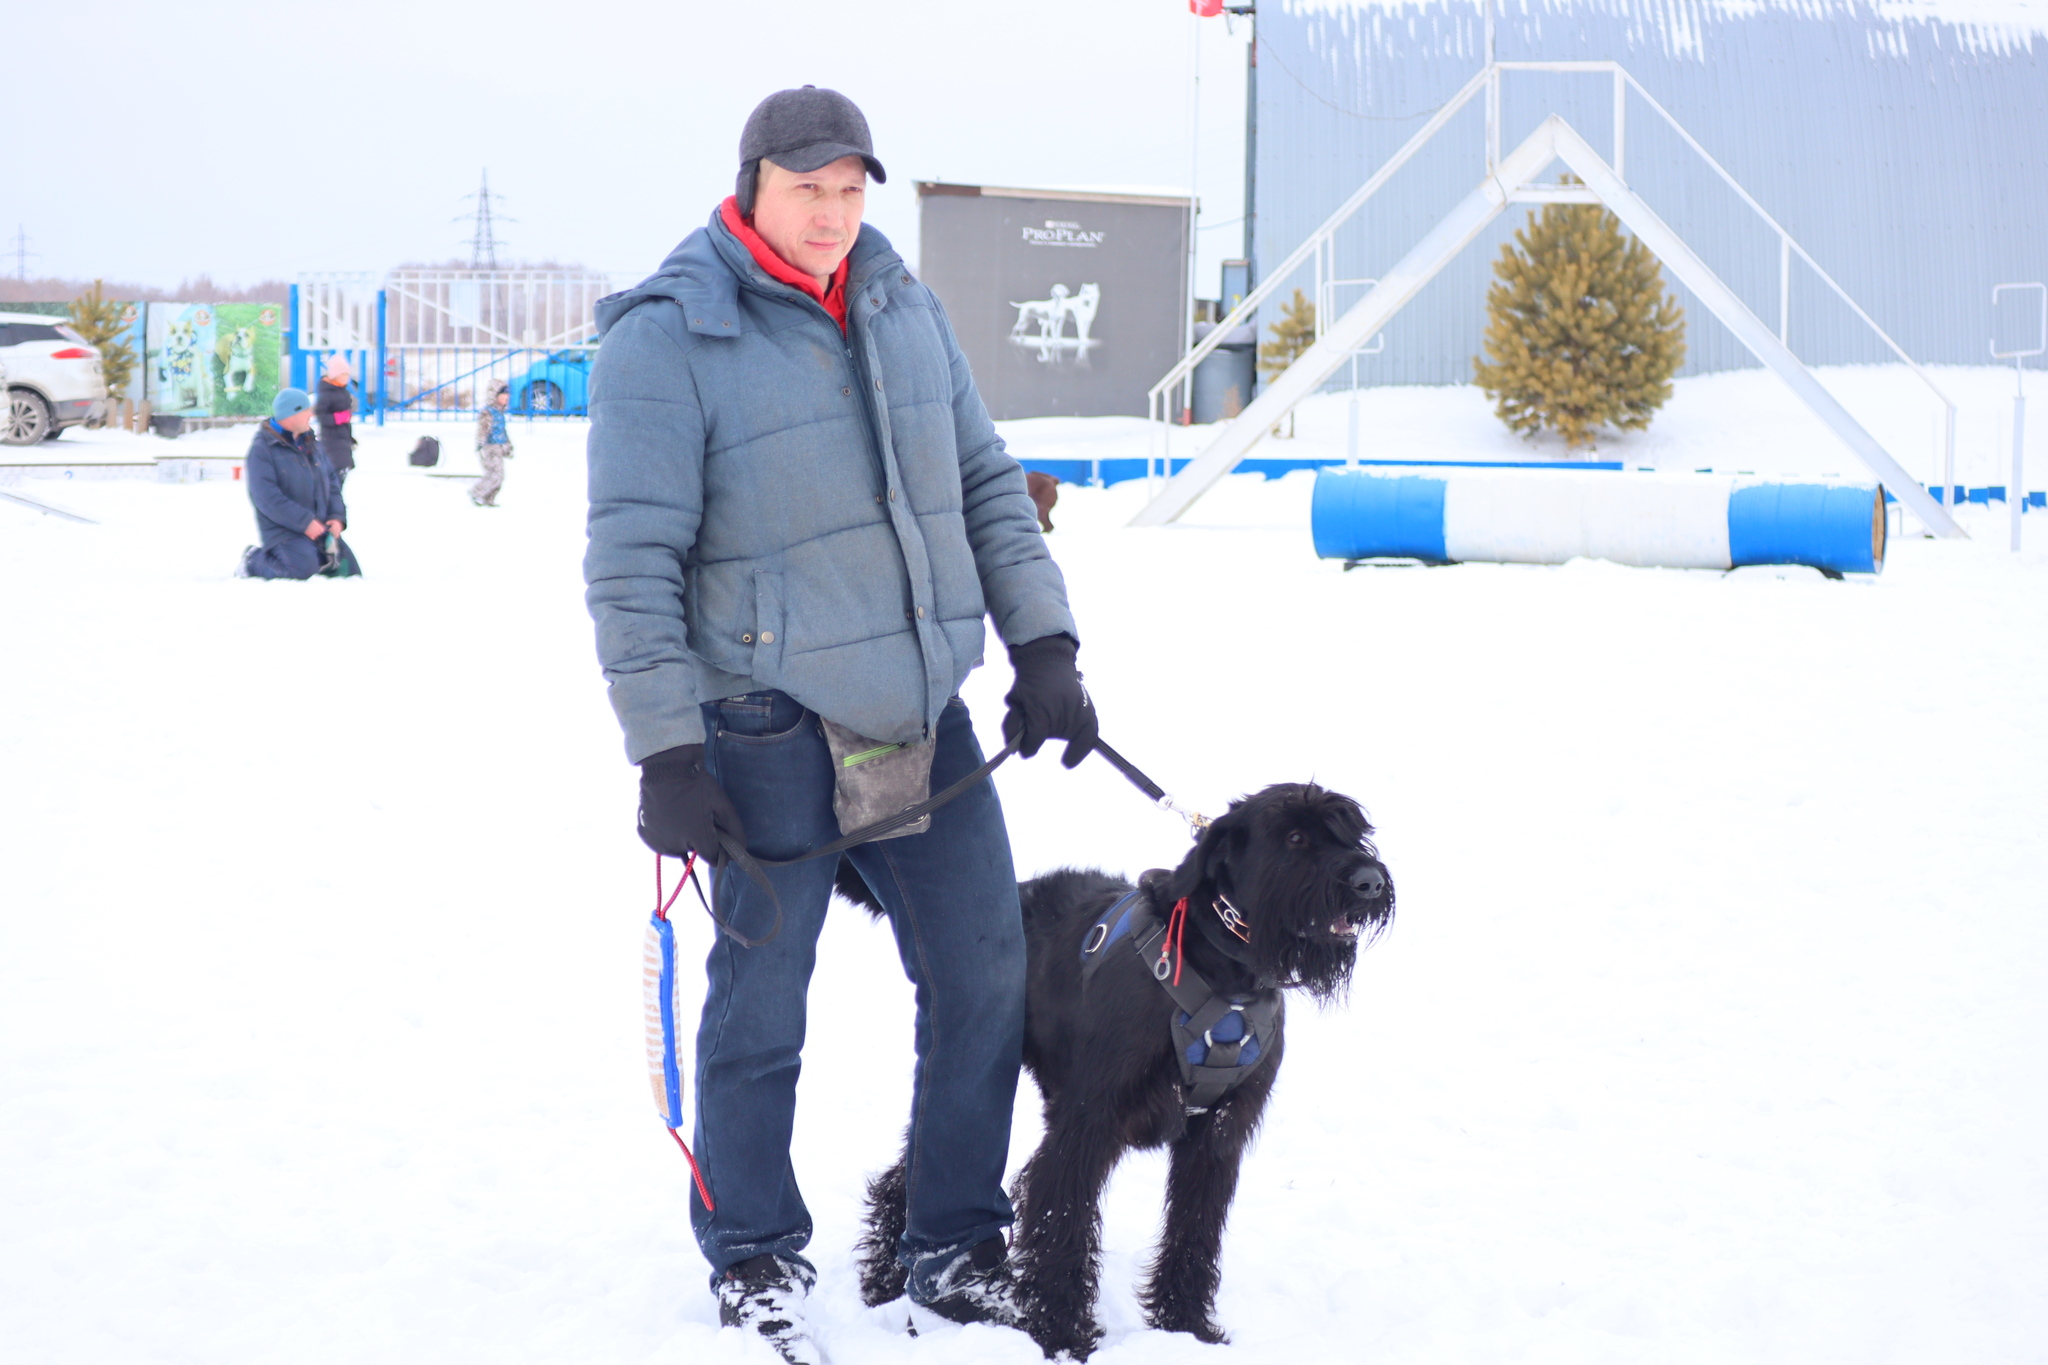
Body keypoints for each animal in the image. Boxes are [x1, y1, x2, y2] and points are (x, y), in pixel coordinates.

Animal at [835, 785, 1392, 1358]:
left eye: (1355, 833)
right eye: (1296, 836)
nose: (1369, 882)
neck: (1227, 973)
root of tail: (1018, 893)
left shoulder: (1218, 1133)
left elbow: (1193, 1230)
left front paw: (1186, 1326)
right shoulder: (1089, 1124)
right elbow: (1063, 1224)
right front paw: (1061, 1335)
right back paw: (885, 1282)